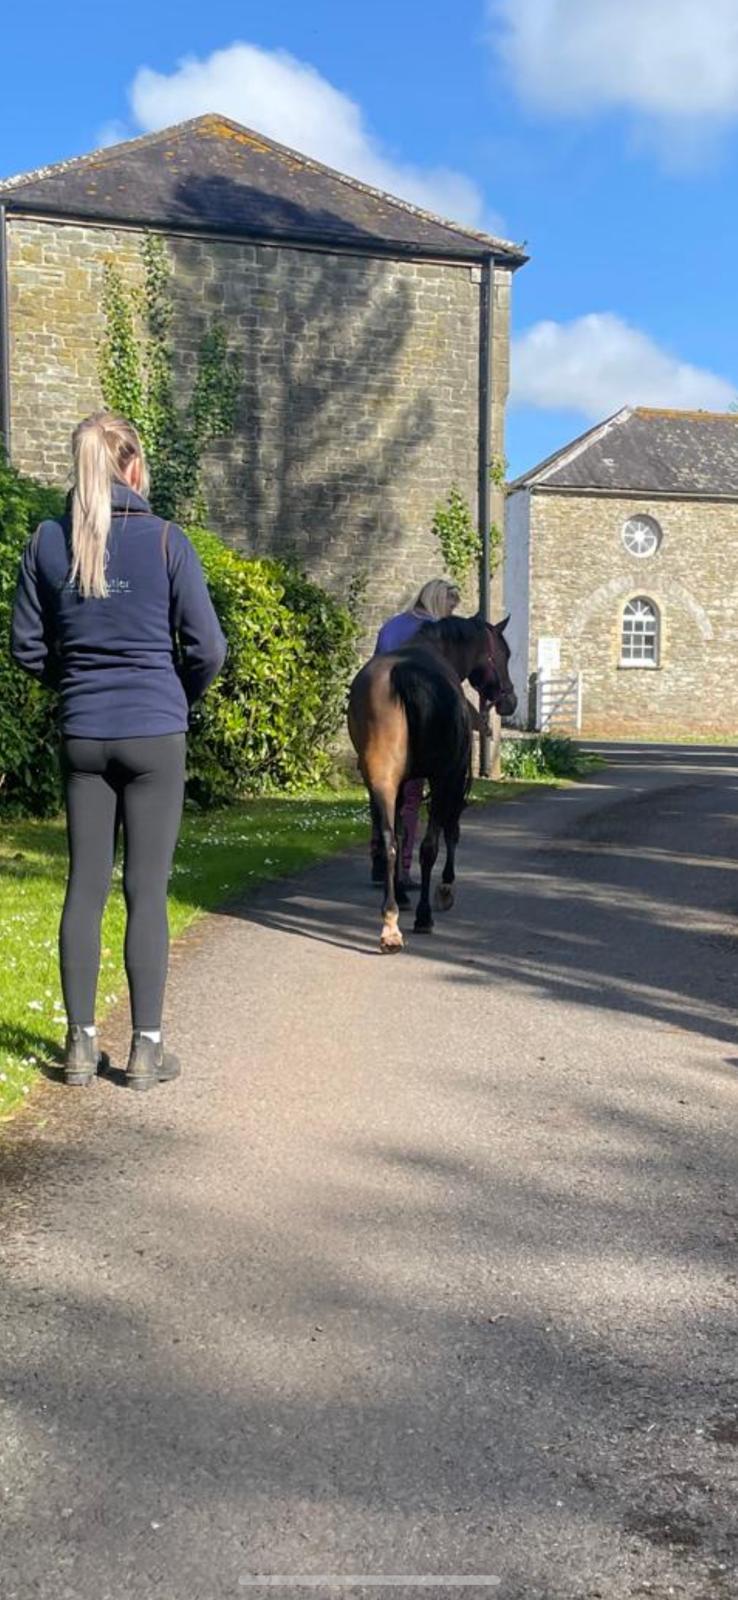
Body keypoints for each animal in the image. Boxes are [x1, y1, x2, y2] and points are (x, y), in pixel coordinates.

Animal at [348, 614, 517, 952]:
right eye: (504, 654)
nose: (510, 700)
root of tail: (402, 674)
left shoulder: (402, 783)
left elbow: (401, 835)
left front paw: (401, 893)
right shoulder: (454, 775)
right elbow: (450, 832)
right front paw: (446, 888)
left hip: (381, 779)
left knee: (389, 841)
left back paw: (391, 922)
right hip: (441, 778)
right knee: (429, 846)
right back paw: (423, 916)